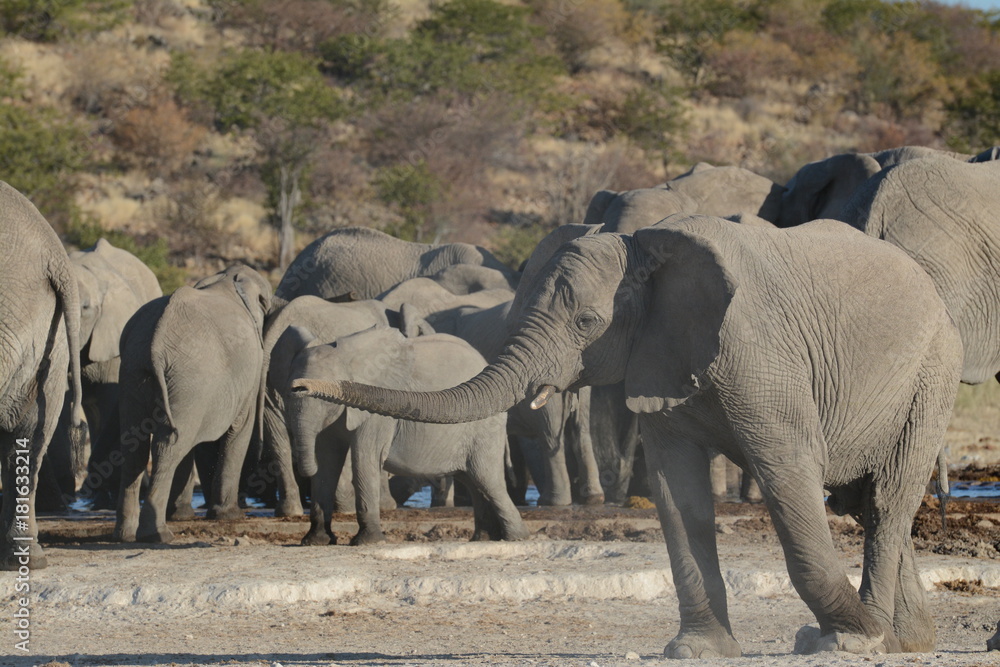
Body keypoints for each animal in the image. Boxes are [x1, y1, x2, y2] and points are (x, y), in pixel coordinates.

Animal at [40, 239, 162, 511]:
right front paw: (64, 498)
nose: (77, 425)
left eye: (85, 308)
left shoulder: (111, 336)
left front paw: (106, 497)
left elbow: (109, 398)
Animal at [114, 264, 272, 543]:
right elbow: (239, 427)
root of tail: (156, 342)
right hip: (189, 378)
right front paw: (229, 516)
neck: (226, 279)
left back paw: (126, 534)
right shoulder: (247, 371)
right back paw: (158, 535)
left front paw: (182, 516)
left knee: (135, 448)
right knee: (168, 446)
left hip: (137, 373)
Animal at [286, 326, 527, 545]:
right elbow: (327, 463)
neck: (347, 356)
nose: (299, 386)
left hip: (485, 429)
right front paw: (316, 541)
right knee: (472, 480)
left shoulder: (376, 414)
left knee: (487, 478)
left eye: (323, 399)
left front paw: (369, 542)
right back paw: (482, 539)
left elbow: (364, 459)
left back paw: (514, 538)